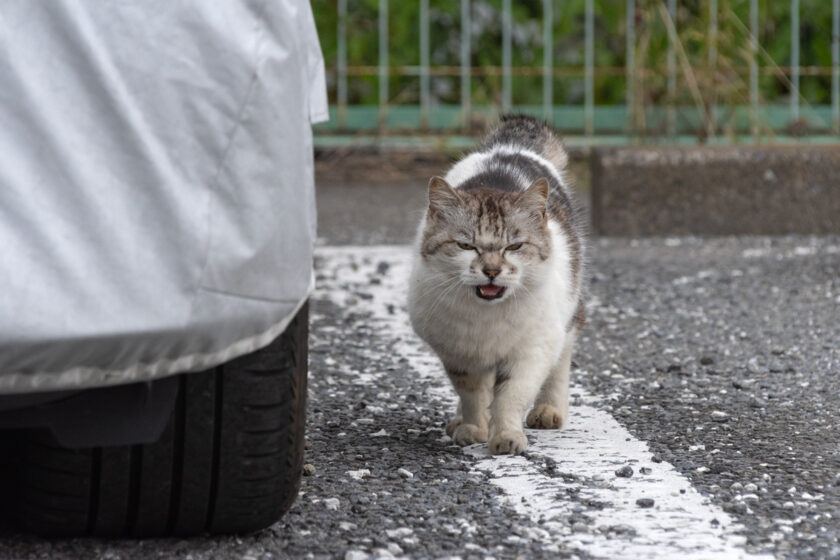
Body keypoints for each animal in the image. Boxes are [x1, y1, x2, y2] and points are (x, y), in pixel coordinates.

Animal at [406, 114, 584, 456]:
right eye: (466, 245)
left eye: (514, 246)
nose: (491, 270)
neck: (486, 319)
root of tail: (512, 146)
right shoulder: (458, 354)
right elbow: (473, 395)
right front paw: (474, 429)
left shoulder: (531, 351)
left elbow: (512, 395)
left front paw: (506, 437)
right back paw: (458, 422)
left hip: (568, 312)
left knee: (561, 360)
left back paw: (549, 411)